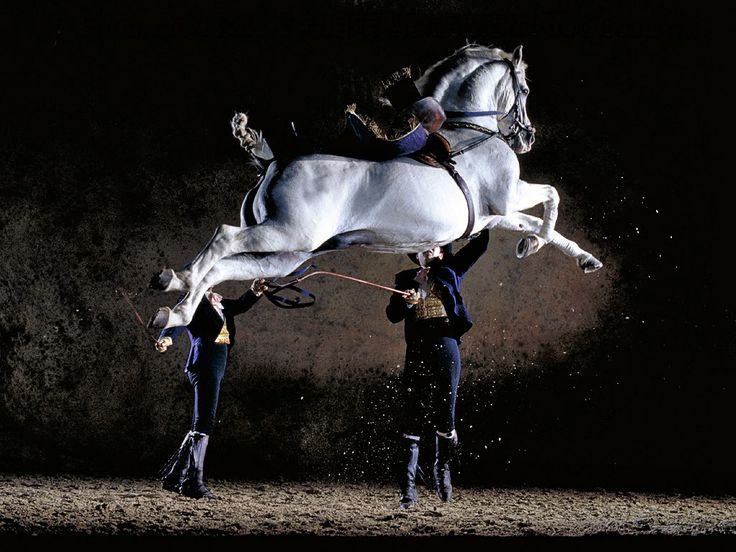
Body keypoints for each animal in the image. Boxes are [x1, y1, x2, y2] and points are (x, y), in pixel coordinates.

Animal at [151, 45, 604, 330]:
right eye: (524, 89)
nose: (527, 137)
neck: (469, 131)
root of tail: (272, 162)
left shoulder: (492, 216)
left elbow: (536, 222)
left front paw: (577, 256)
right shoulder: (509, 196)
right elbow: (551, 197)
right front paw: (535, 244)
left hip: (285, 256)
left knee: (224, 267)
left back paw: (174, 310)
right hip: (286, 233)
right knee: (222, 238)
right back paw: (178, 280)